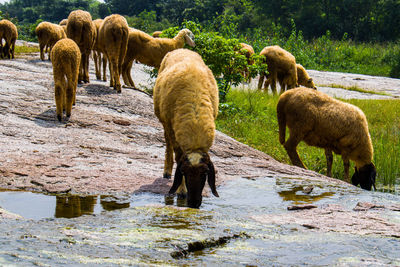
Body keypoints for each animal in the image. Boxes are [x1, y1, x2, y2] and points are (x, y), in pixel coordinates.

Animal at [153, 48, 219, 209]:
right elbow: (178, 157)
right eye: (184, 172)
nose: (194, 203)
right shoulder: (172, 128)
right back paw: (167, 171)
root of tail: (182, 49)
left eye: (205, 173)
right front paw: (181, 191)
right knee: (167, 143)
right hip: (165, 121)